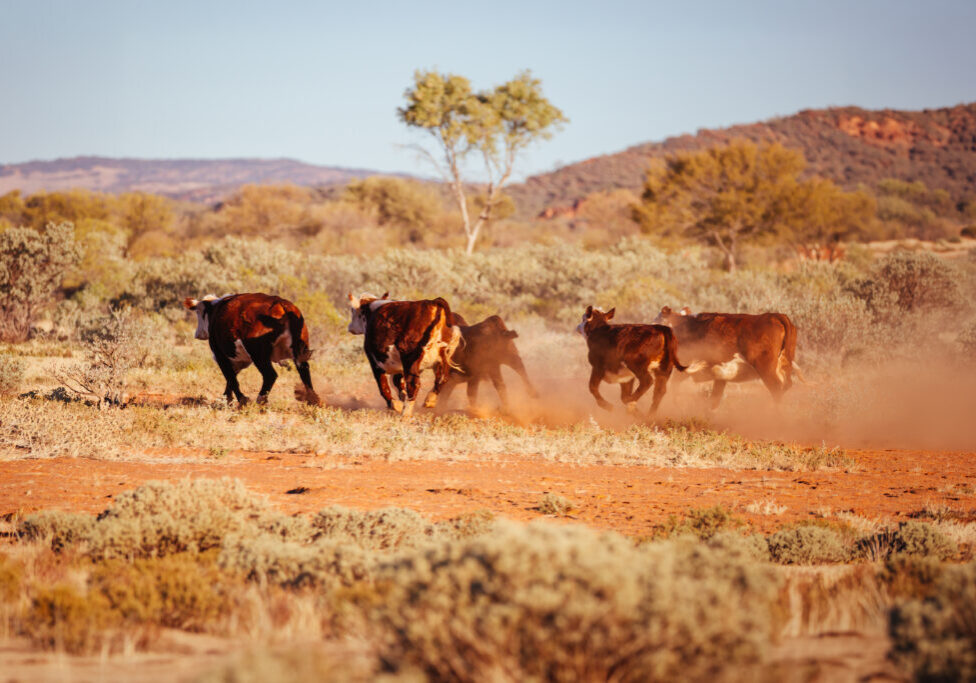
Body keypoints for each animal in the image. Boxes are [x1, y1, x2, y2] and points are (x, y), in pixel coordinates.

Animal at [182, 293, 321, 407]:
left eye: (198, 312)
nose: (197, 334)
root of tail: (282, 304)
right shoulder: (240, 359)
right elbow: (232, 377)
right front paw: (226, 399)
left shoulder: (220, 354)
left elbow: (231, 377)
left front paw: (240, 399)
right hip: (299, 351)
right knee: (304, 370)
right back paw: (313, 400)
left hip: (258, 354)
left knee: (270, 375)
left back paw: (260, 401)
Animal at [652, 306, 800, 408]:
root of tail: (774, 316)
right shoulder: (719, 373)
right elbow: (715, 399)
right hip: (784, 365)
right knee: (786, 385)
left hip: (766, 367)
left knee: (776, 388)